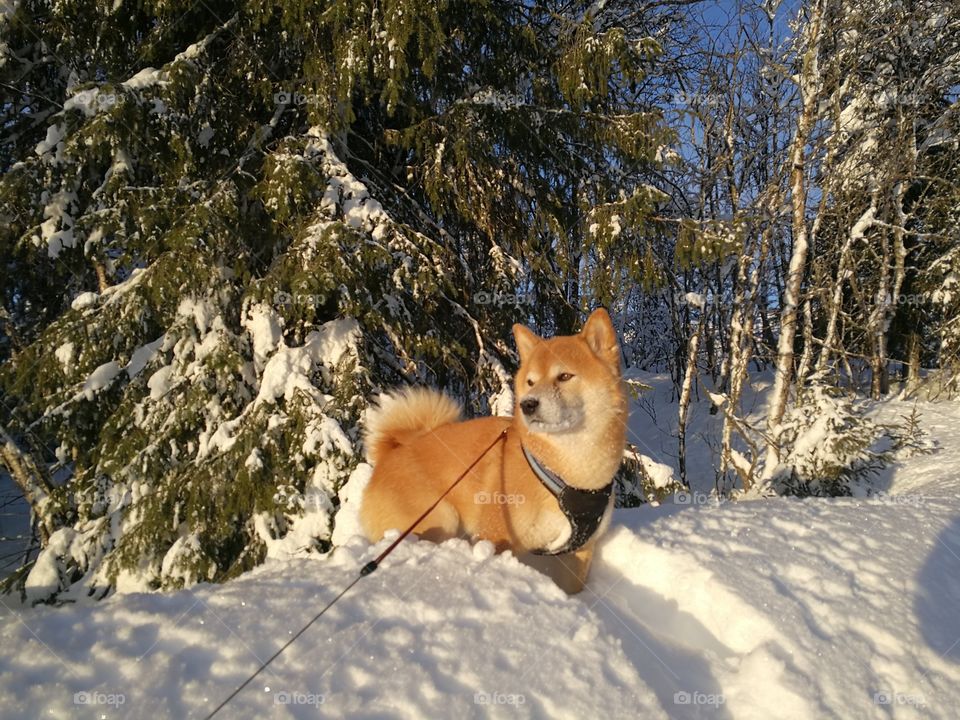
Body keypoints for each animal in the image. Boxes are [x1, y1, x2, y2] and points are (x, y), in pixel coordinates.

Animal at [362, 306, 632, 592]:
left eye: (565, 376)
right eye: (530, 382)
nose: (527, 404)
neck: (571, 474)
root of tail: (390, 454)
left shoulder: (579, 552)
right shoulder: (495, 536)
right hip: (440, 518)